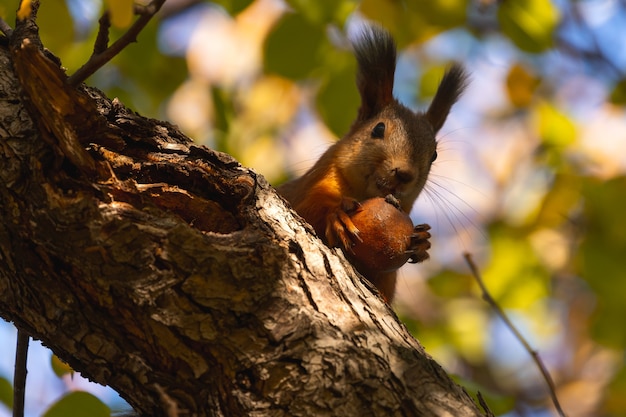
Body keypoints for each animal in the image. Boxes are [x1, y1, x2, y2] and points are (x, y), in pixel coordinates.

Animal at [276, 24, 466, 300]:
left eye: (435, 155)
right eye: (378, 129)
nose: (404, 173)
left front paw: (423, 242)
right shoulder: (313, 185)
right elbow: (306, 209)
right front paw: (337, 216)